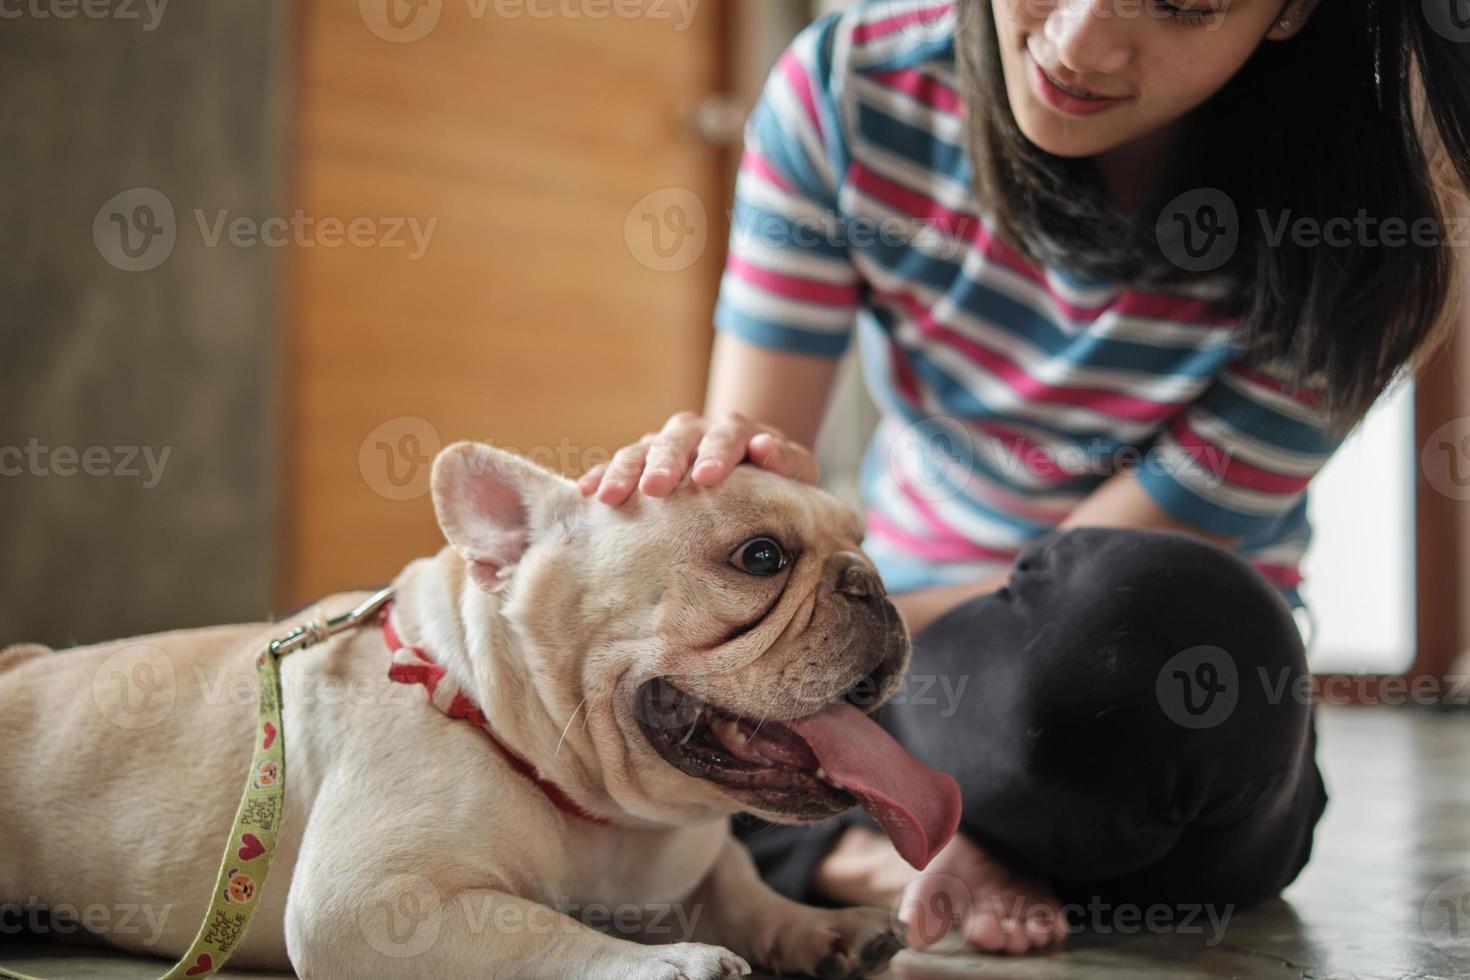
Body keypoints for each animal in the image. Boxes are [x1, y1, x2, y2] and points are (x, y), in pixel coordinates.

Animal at [0, 443, 958, 980]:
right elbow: (537, 928)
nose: (871, 583)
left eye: (862, 540)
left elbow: (742, 885)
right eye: (760, 556)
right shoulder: (370, 901)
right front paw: (669, 961)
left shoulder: (691, 860)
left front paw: (818, 929)